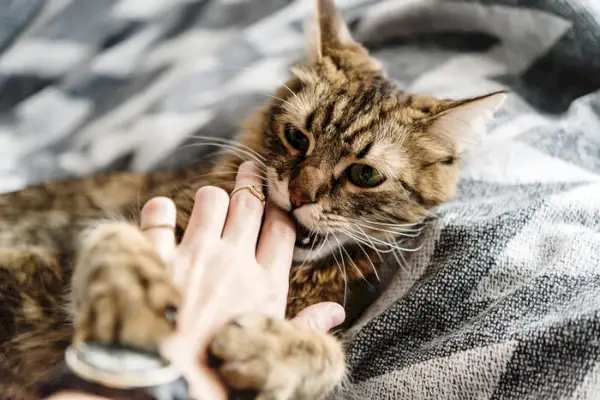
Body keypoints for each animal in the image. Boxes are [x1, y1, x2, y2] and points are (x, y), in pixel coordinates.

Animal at [0, 0, 506, 400]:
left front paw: (270, 350)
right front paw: (132, 294)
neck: (300, 275)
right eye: (297, 138)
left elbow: (331, 358)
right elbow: (111, 237)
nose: (301, 194)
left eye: (364, 174)